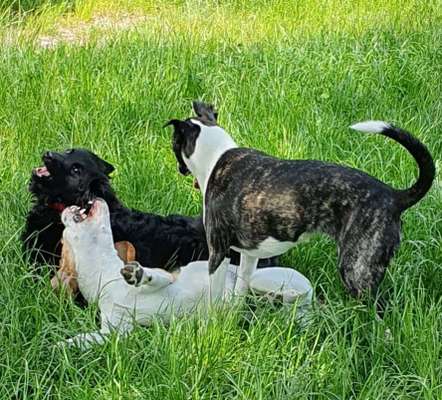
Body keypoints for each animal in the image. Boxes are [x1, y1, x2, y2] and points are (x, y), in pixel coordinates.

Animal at [60, 198, 312, 348]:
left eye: (62, 238)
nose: (65, 210)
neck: (107, 281)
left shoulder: (169, 277)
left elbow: (156, 277)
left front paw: (140, 275)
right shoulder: (114, 331)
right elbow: (85, 339)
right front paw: (62, 346)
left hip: (258, 279)